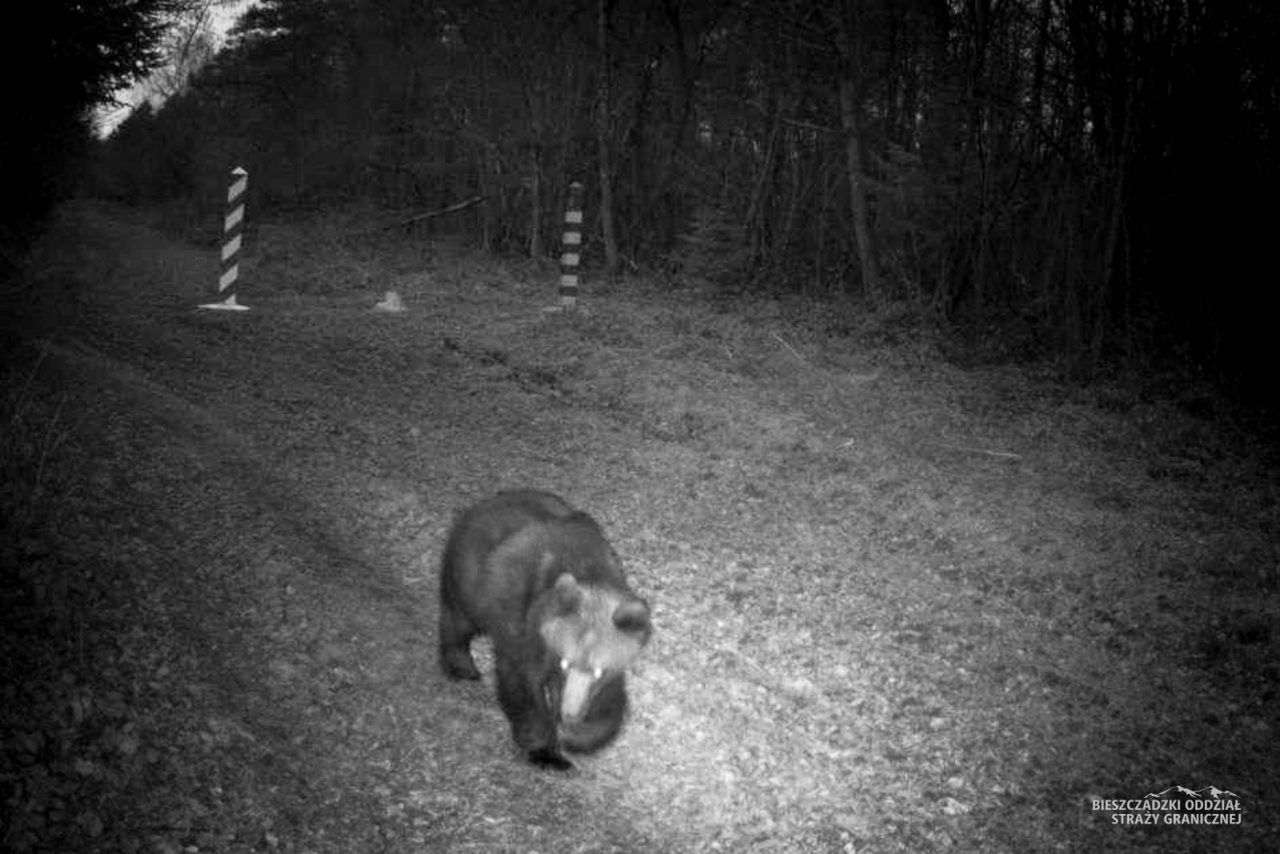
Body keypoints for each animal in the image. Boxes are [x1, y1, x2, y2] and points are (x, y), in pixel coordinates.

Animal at [437, 491, 650, 773]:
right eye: (565, 661)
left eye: (597, 670)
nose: (569, 713)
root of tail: (485, 502)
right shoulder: (523, 624)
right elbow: (522, 684)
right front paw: (547, 752)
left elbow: (610, 699)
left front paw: (579, 735)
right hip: (470, 577)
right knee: (458, 619)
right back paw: (462, 667)